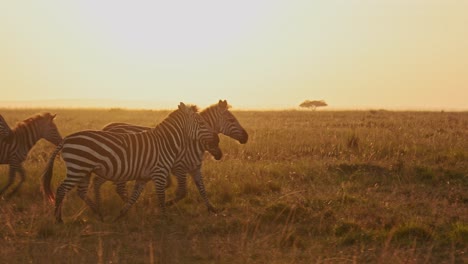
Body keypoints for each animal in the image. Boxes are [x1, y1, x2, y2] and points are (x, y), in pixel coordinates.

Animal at [41, 102, 220, 222]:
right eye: (202, 123)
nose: (217, 140)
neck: (166, 142)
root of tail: (66, 139)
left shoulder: (143, 177)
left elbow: (134, 197)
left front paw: (122, 214)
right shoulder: (160, 172)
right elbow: (161, 195)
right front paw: (165, 217)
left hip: (84, 170)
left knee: (81, 192)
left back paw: (99, 213)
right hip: (78, 167)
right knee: (61, 189)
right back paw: (59, 219)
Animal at [96, 99, 247, 212]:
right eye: (231, 119)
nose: (246, 137)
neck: (192, 142)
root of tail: (107, 127)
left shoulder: (195, 168)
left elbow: (202, 189)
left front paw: (212, 208)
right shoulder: (179, 168)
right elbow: (182, 192)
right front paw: (167, 203)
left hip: (110, 168)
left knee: (99, 182)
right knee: (117, 187)